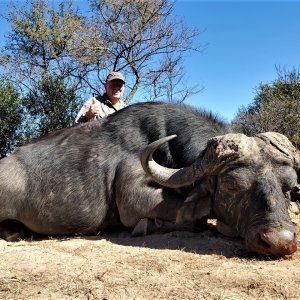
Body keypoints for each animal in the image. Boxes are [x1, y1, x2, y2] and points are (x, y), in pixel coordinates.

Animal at [0, 101, 298, 258]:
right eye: (232, 185)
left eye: (287, 187)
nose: (279, 242)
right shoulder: (135, 202)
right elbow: (193, 218)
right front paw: (147, 225)